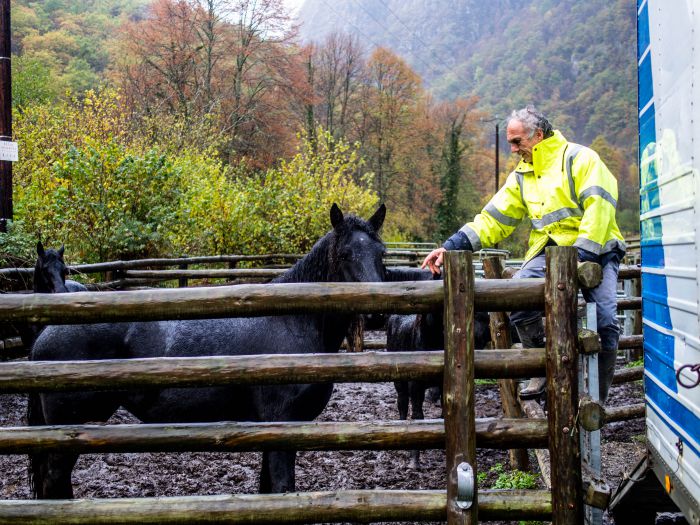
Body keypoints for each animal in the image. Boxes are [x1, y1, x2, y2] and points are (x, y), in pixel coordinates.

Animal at [28, 203, 388, 498]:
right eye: (344, 254)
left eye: (381, 254)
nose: (377, 311)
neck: (292, 320)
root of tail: (45, 334)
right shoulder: (282, 425)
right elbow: (281, 488)